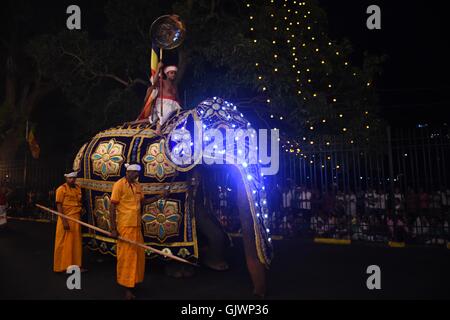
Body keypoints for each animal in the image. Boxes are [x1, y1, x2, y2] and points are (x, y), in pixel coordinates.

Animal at [73, 96, 274, 296]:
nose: (257, 293)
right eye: (222, 131)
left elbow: (201, 211)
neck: (187, 114)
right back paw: (101, 256)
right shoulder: (173, 172)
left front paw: (217, 265)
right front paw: (182, 272)